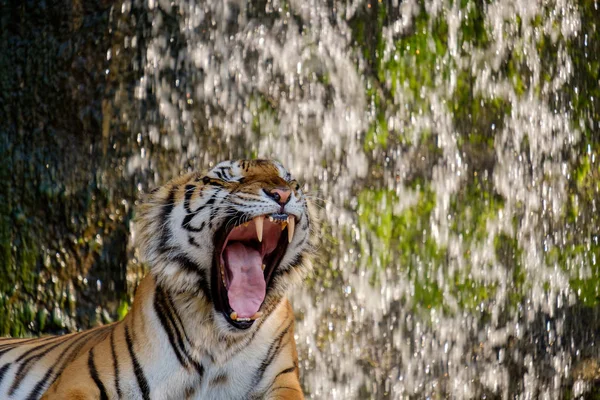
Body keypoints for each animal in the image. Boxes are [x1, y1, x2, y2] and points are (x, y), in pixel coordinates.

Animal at [0, 160, 316, 400]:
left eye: (290, 180)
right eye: (225, 178)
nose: (282, 193)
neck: (218, 339)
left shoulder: (281, 381)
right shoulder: (80, 382)